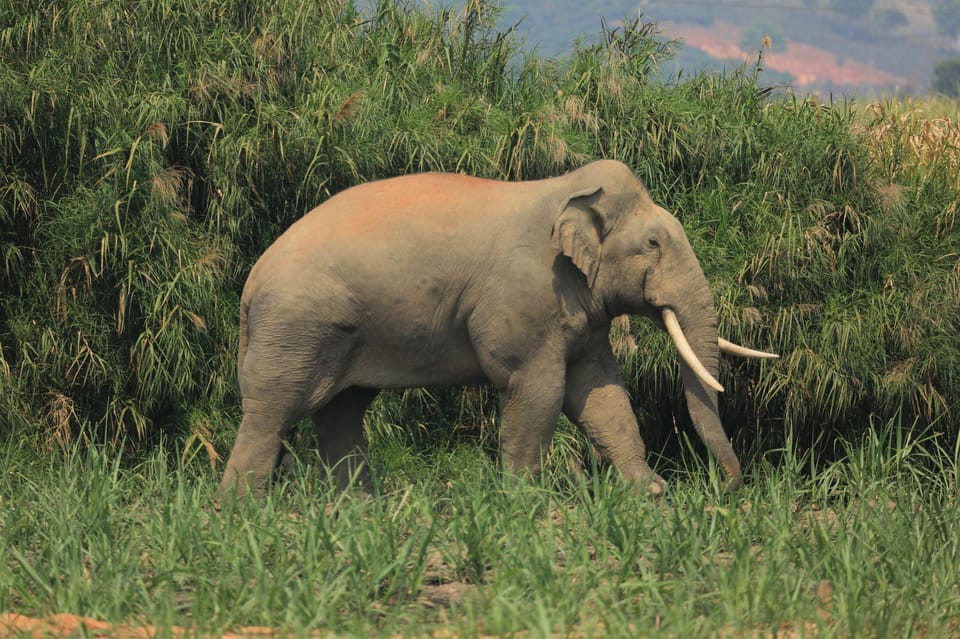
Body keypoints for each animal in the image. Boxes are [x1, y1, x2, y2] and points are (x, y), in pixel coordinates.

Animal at [221, 158, 776, 498]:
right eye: (655, 243)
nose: (726, 487)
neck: (566, 190)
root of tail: (251, 283)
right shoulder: (526, 298)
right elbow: (539, 389)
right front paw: (526, 501)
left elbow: (600, 392)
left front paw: (649, 494)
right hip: (296, 328)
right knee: (273, 412)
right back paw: (242, 511)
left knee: (341, 413)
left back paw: (359, 511)